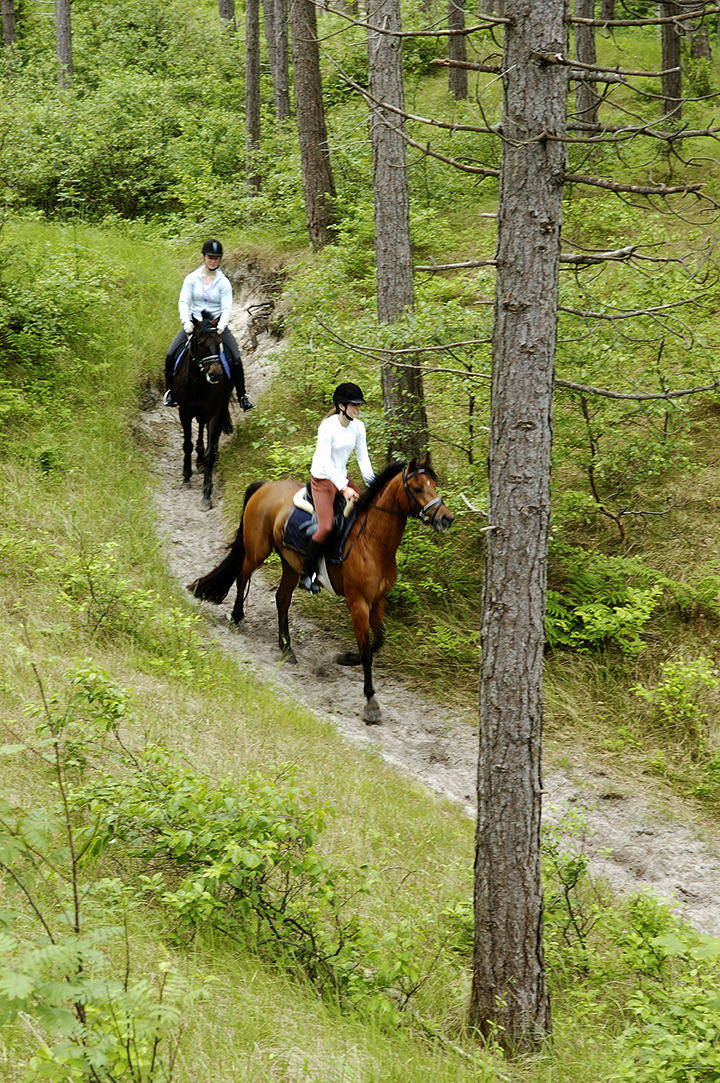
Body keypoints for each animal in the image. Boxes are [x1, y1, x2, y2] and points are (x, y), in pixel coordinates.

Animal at [172, 314, 232, 511]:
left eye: (219, 341)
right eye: (201, 342)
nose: (216, 374)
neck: (198, 381)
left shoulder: (214, 413)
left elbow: (209, 453)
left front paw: (206, 494)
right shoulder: (184, 411)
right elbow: (187, 445)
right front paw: (186, 477)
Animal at [188, 452, 452, 723]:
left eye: (433, 485)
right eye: (418, 488)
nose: (446, 518)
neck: (373, 542)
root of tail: (266, 486)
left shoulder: (378, 599)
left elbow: (377, 642)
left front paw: (346, 658)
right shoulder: (358, 603)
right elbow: (367, 651)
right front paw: (370, 702)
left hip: (291, 564)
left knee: (282, 598)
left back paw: (286, 648)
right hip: (257, 551)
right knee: (242, 576)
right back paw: (237, 616)